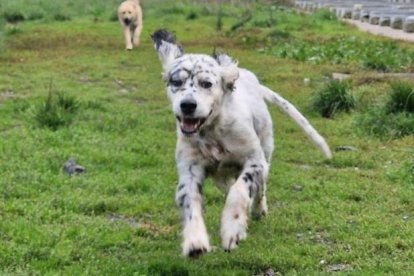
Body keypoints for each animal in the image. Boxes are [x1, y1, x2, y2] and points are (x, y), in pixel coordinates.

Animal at [150, 29, 332, 256]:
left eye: (206, 83)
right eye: (176, 82)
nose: (188, 105)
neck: (214, 132)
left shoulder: (255, 161)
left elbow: (239, 191)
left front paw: (232, 230)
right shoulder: (189, 170)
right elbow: (191, 202)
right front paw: (195, 240)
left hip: (266, 150)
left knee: (259, 188)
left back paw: (258, 209)